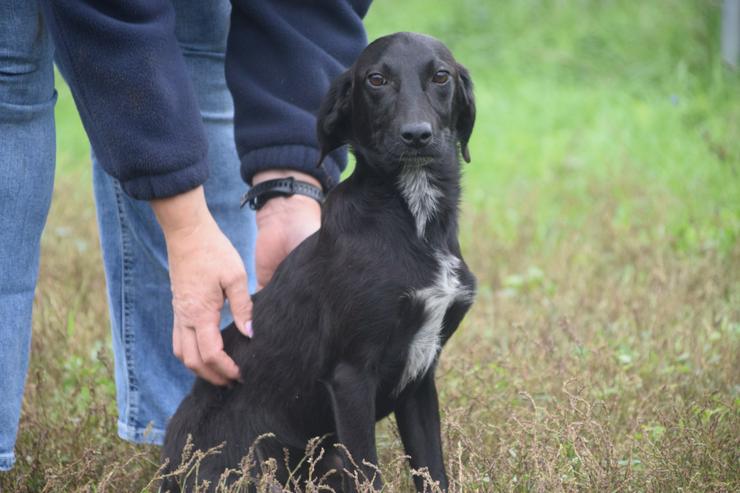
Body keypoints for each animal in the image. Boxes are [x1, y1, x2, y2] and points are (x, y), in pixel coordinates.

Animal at [161, 32, 474, 490]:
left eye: (440, 76)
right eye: (376, 79)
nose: (417, 135)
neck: (414, 218)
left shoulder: (420, 380)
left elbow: (432, 471)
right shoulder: (351, 377)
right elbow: (370, 476)